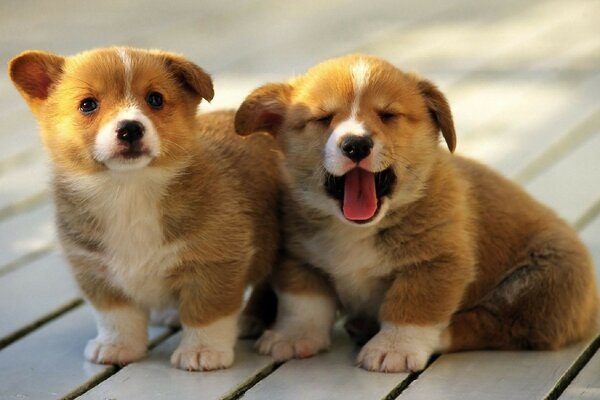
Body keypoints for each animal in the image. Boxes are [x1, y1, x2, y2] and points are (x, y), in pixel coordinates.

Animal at [9, 47, 282, 372]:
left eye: (155, 99)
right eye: (88, 105)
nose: (130, 129)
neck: (127, 190)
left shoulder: (215, 264)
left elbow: (206, 313)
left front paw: (202, 352)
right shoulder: (95, 271)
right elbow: (117, 317)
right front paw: (117, 347)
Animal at [234, 53, 600, 372]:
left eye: (387, 115)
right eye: (324, 119)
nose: (356, 145)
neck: (356, 229)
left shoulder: (436, 263)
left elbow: (411, 308)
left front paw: (392, 349)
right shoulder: (299, 260)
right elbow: (304, 304)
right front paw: (294, 337)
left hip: (547, 279)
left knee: (500, 325)